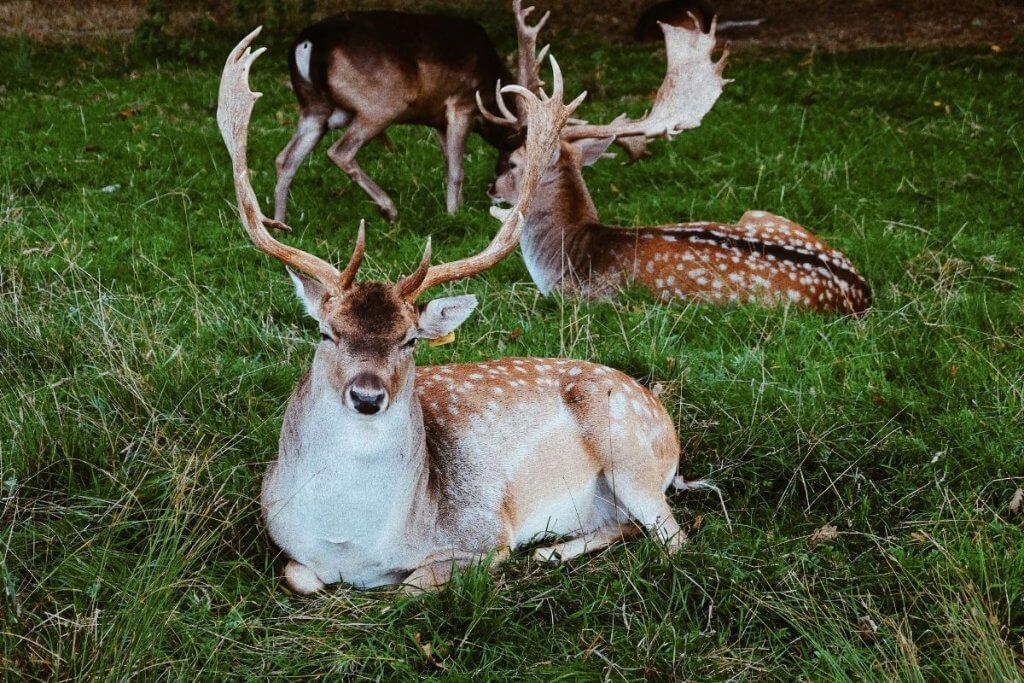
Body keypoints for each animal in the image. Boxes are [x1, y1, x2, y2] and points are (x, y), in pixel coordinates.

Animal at [219, 28, 712, 594]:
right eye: (326, 333)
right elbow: (301, 576)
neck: (352, 547)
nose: (367, 396)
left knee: (672, 538)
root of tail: (664, 423)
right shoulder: (284, 538)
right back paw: (553, 553)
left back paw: (552, 553)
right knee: (626, 525)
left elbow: (411, 584)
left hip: (630, 452)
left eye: (410, 339)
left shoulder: (482, 532)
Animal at [271, 2, 554, 224]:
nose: (494, 189)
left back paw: (280, 227)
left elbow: (448, 160)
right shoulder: (461, 103)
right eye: (518, 161)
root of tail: (308, 43)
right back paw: (390, 210)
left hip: (314, 108)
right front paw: (454, 215)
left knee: (285, 158)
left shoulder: (437, 119)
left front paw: (460, 209)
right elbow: (457, 170)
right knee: (340, 151)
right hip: (382, 103)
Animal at [482, 19, 872, 315]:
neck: (563, 260)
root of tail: (861, 292)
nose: (491, 188)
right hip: (761, 214)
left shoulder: (586, 299)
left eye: (514, 162)